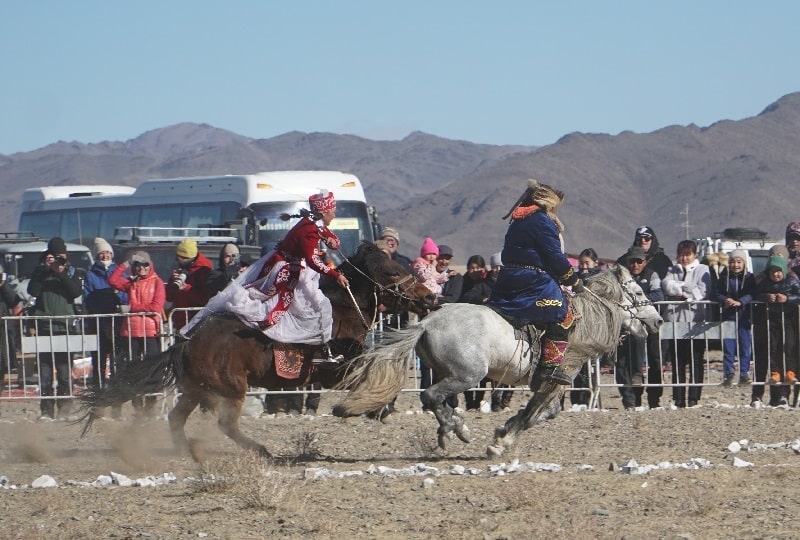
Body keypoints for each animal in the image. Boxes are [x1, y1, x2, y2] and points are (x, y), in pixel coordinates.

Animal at [78, 243, 434, 458]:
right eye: (391, 271)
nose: (429, 297)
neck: (343, 310)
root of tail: (186, 342)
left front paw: (377, 409)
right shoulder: (338, 367)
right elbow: (377, 376)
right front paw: (358, 408)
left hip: (196, 389)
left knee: (176, 418)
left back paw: (188, 452)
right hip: (232, 388)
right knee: (226, 424)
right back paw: (260, 450)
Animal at [332, 264, 664, 458]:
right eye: (637, 291)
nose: (658, 321)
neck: (585, 320)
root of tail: (427, 322)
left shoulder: (551, 384)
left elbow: (547, 413)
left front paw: (503, 430)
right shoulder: (557, 378)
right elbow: (534, 413)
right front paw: (499, 444)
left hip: (450, 373)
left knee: (438, 400)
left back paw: (454, 430)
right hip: (467, 375)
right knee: (430, 396)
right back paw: (455, 431)